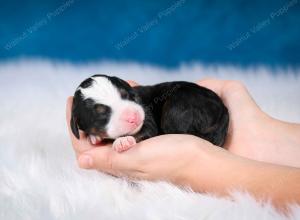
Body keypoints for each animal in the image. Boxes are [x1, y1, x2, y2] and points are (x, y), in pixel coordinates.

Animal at [71, 75, 230, 152]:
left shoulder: (147, 118)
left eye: (126, 95)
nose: (133, 117)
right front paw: (94, 137)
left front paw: (123, 141)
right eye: (101, 114)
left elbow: (145, 131)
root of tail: (223, 110)